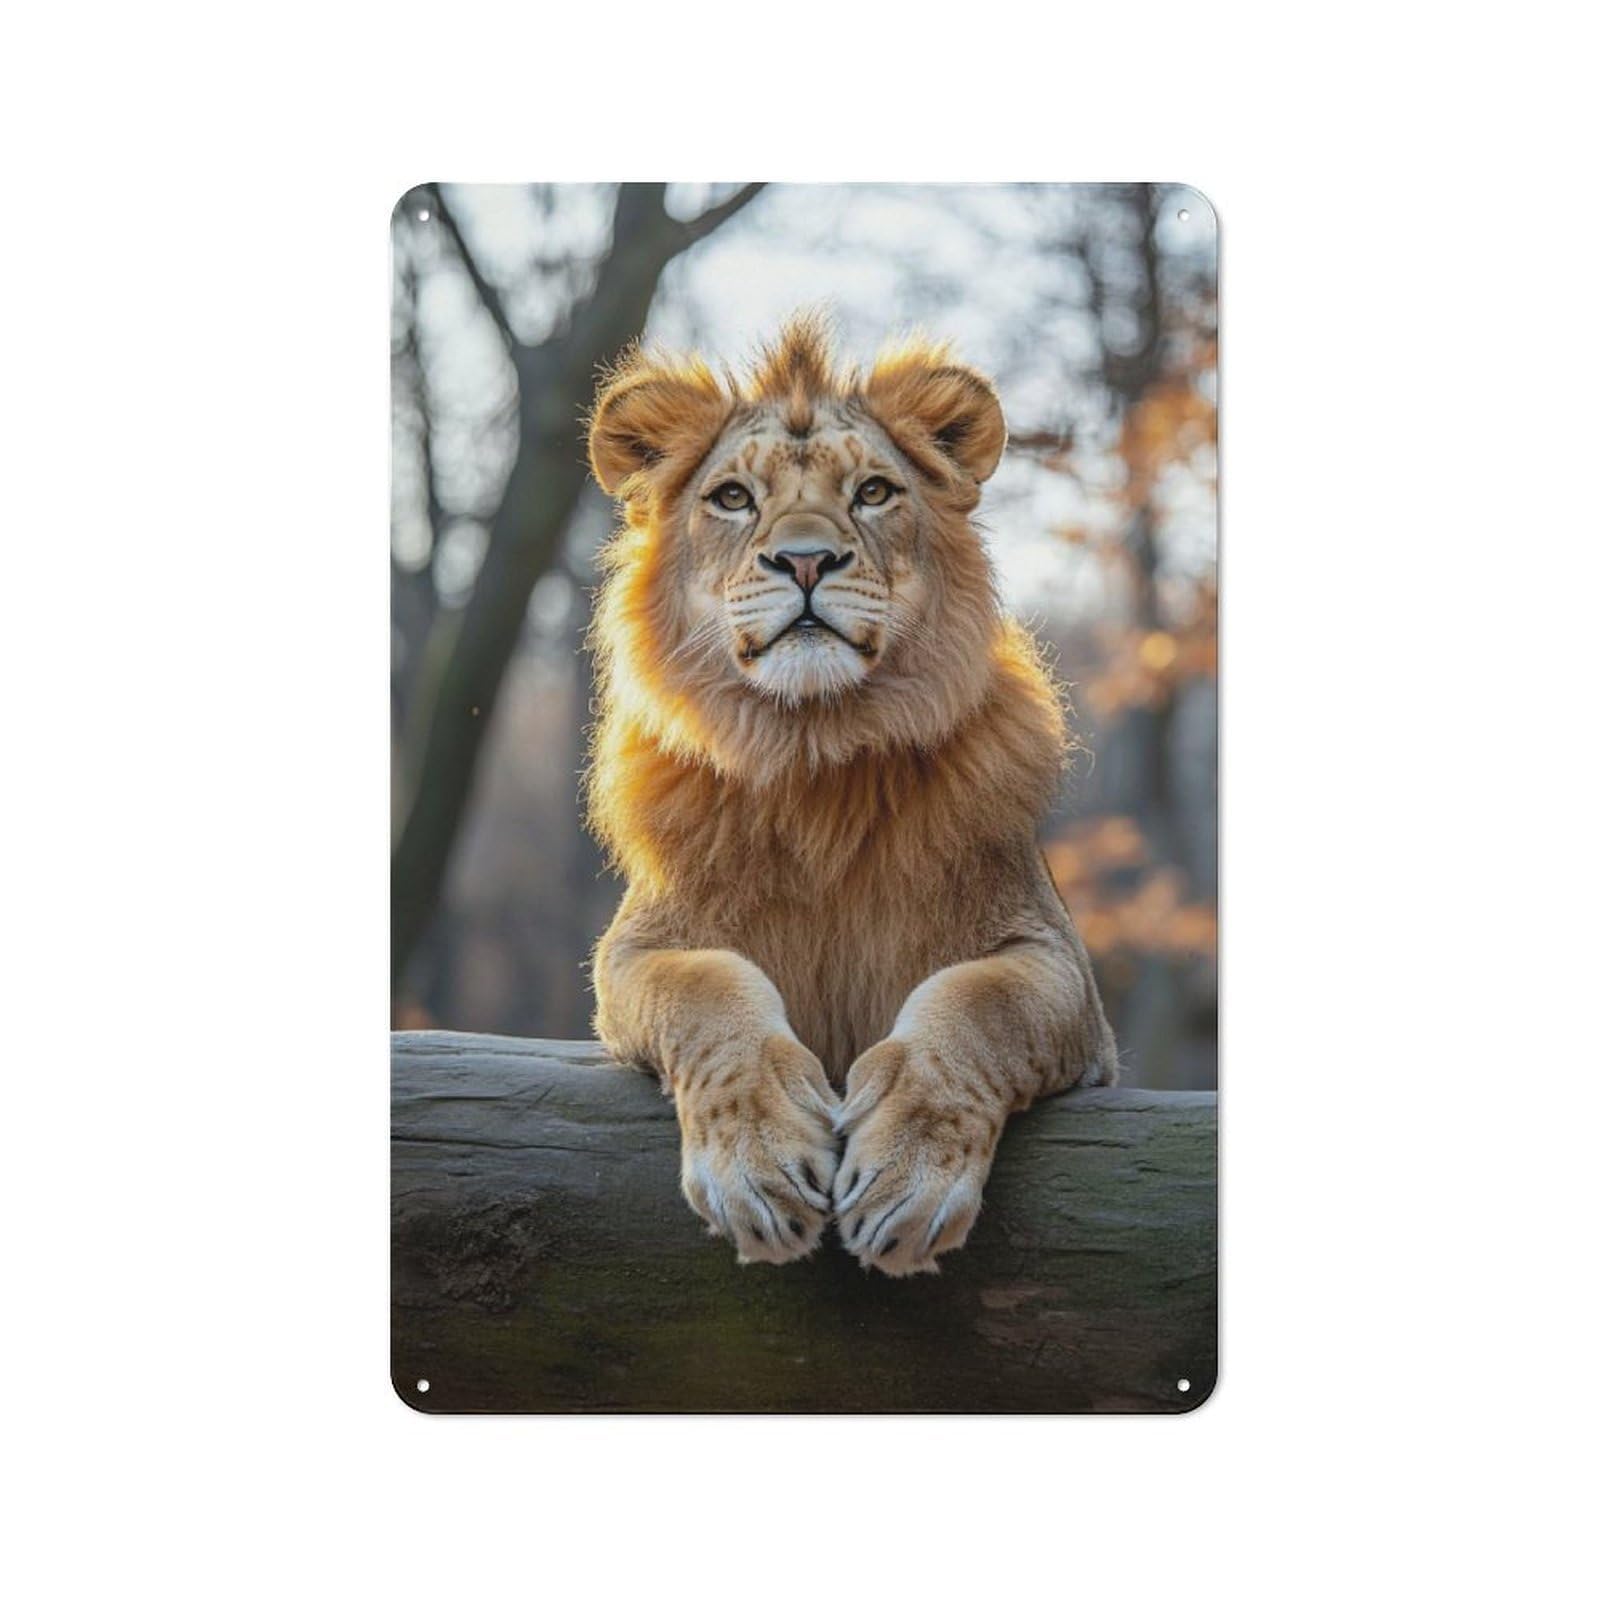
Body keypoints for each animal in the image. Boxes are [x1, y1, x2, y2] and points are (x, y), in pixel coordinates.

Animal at [583, 314, 1117, 1277]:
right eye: (732, 498)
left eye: (872, 492)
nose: (805, 560)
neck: (815, 753)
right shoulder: (637, 952)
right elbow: (710, 989)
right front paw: (758, 1169)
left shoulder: (1060, 972)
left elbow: (976, 1005)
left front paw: (908, 1181)